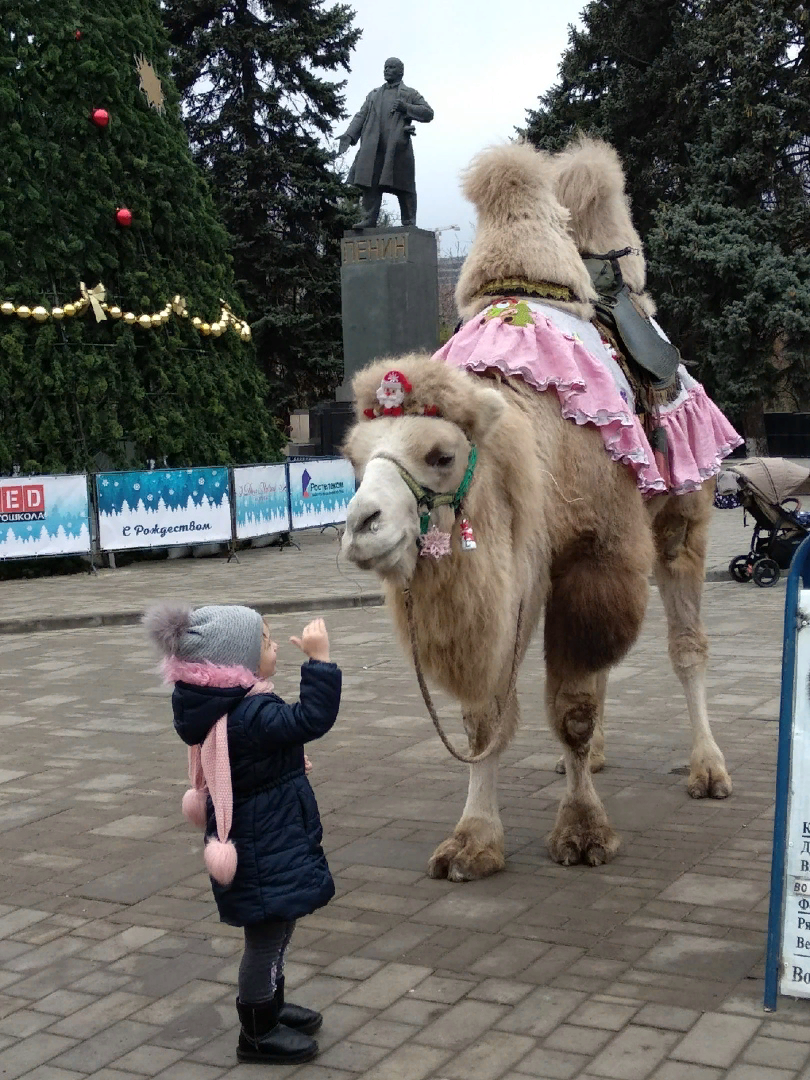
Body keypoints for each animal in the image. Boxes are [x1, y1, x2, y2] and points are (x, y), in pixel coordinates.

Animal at [339, 139, 747, 881]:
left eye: (441, 454)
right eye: (354, 458)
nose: (361, 525)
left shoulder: (592, 553)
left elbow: (573, 707)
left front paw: (583, 834)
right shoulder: (518, 568)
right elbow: (486, 716)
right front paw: (472, 840)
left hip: (683, 516)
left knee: (686, 646)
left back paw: (708, 769)